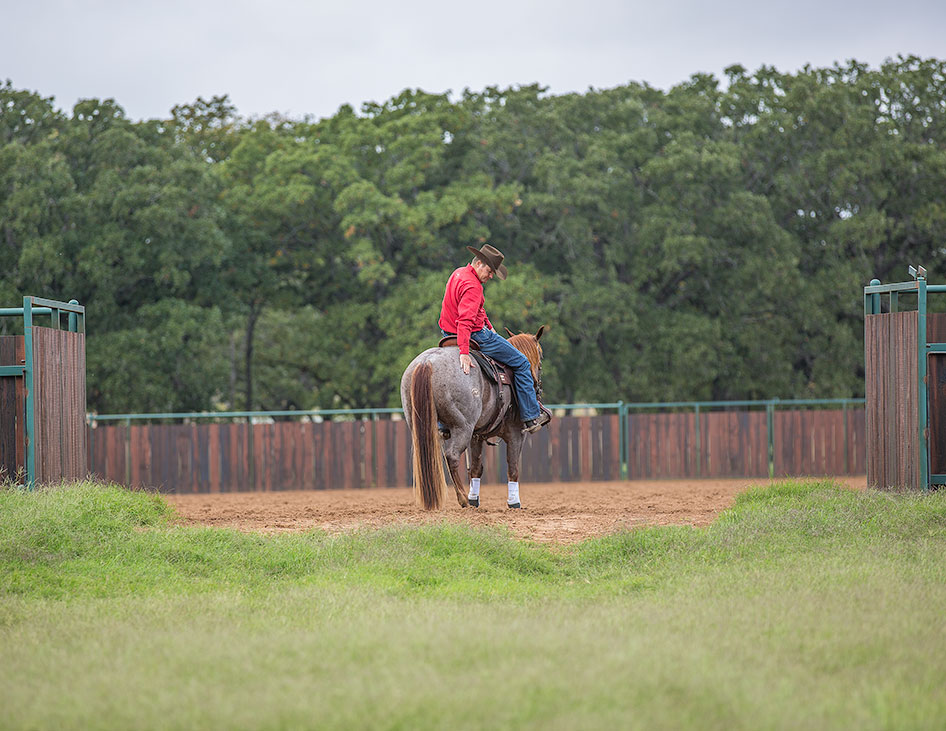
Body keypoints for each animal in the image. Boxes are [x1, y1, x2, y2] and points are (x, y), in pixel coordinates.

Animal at [398, 328, 544, 512]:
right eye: (541, 354)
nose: (538, 388)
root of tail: (427, 362)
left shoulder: (477, 436)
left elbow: (475, 469)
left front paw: (474, 499)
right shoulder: (516, 433)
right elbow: (513, 468)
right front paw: (514, 502)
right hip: (463, 427)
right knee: (452, 456)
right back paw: (462, 498)